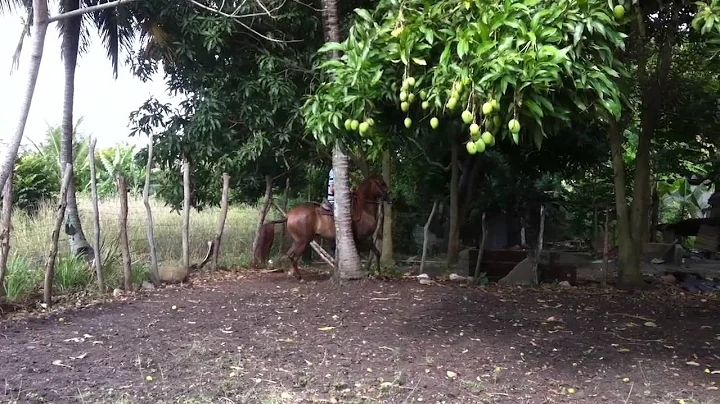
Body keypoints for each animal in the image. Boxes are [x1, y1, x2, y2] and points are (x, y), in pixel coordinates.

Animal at [258, 175, 394, 280]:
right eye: (382, 184)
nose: (391, 197)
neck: (363, 209)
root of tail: (289, 215)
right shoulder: (365, 237)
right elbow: (377, 253)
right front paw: (379, 273)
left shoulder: (360, 240)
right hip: (303, 241)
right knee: (293, 256)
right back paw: (299, 276)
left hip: (299, 240)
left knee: (290, 255)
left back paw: (297, 275)